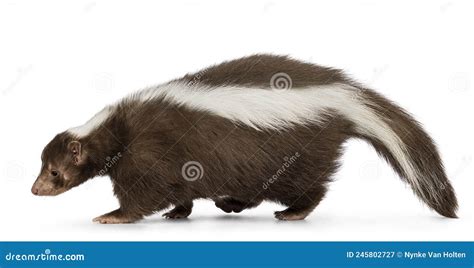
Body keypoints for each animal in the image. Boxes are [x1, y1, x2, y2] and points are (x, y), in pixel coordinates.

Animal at [32, 54, 456, 222]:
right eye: (43, 167)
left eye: (54, 172)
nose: (35, 190)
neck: (116, 128)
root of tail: (342, 95)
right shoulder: (174, 161)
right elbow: (179, 191)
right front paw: (178, 213)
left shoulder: (151, 152)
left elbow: (145, 192)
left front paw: (112, 215)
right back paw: (231, 204)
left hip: (295, 153)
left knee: (309, 186)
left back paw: (292, 212)